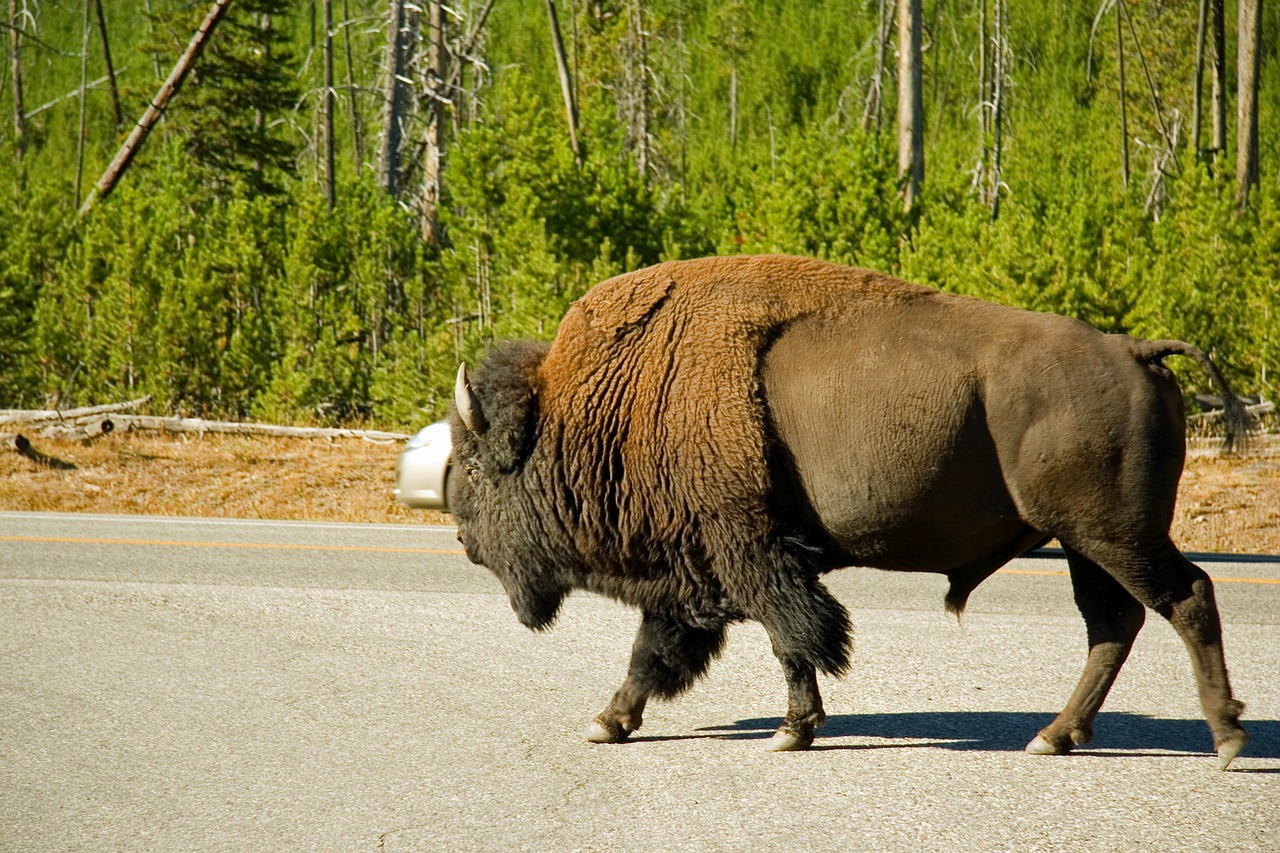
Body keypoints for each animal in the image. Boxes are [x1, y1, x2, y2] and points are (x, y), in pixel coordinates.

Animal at [450, 251, 1249, 763]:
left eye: (477, 467)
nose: (462, 538)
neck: (606, 401)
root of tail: (1136, 349)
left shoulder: (747, 551)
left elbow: (792, 638)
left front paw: (790, 731)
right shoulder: (695, 573)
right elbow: (656, 652)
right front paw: (609, 721)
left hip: (1113, 533)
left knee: (1185, 596)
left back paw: (1226, 737)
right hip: (1085, 542)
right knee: (1113, 624)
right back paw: (1055, 736)